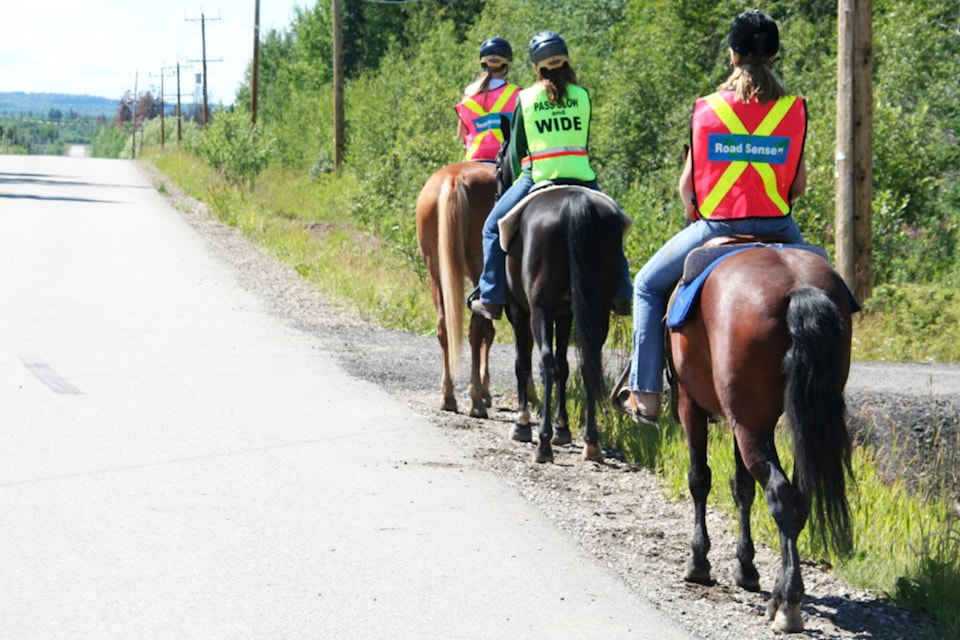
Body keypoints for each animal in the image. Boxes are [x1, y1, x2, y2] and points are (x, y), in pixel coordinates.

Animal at [415, 161, 497, 418]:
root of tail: (454, 178)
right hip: (479, 269)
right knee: (476, 329)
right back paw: (476, 400)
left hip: (436, 270)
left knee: (444, 326)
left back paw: (448, 395)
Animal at [497, 139, 628, 464]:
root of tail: (575, 204)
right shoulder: (566, 313)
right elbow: (564, 365)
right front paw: (563, 428)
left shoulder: (519, 310)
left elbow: (524, 362)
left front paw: (523, 424)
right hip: (595, 308)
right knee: (588, 362)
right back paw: (591, 442)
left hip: (539, 308)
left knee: (544, 360)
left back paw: (542, 443)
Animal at [666, 243, 856, 633]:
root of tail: (799, 288)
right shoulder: (742, 420)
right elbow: (742, 488)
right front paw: (746, 567)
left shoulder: (690, 404)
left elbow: (699, 479)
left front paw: (698, 561)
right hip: (779, 425)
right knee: (798, 497)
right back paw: (782, 596)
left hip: (747, 424)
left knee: (780, 494)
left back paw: (788, 604)